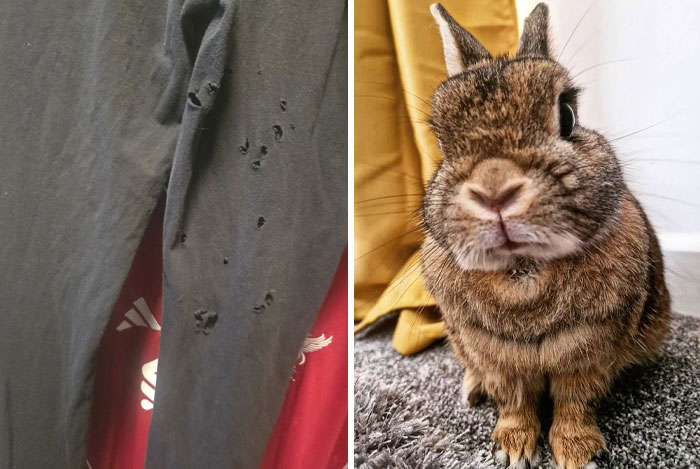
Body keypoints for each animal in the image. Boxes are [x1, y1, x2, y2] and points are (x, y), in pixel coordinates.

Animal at [420, 3, 671, 469]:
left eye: (568, 115)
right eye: (441, 142)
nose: (495, 191)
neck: (525, 269)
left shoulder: (589, 350)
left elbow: (575, 402)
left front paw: (576, 454)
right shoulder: (497, 358)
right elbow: (514, 402)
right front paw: (513, 450)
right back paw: (472, 390)